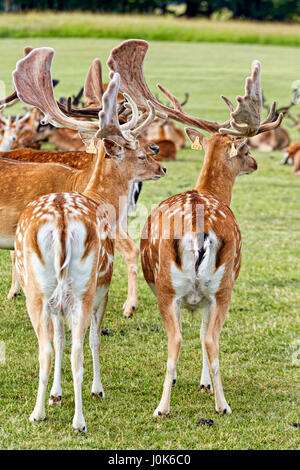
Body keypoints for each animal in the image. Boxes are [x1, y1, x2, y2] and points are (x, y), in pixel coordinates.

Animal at [12, 46, 166, 432]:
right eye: (140, 152)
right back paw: (79, 420)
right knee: (79, 348)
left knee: (46, 348)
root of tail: (62, 219)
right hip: (83, 286)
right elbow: (94, 338)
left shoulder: (57, 299)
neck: (98, 197)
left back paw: (38, 412)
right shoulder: (102, 285)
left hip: (39, 288)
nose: (162, 166)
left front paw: (55, 395)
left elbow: (58, 337)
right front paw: (98, 389)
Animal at [109, 38, 282, 416]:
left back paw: (171, 406)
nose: (255, 161)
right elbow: (204, 337)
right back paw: (213, 405)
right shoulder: (208, 295)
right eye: (244, 149)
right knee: (206, 339)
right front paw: (203, 385)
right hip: (218, 285)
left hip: (177, 287)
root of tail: (200, 229)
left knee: (184, 339)